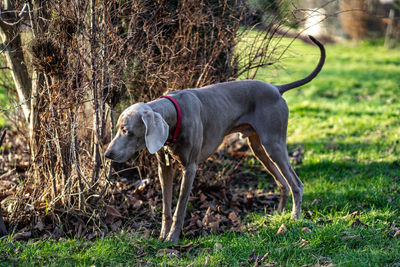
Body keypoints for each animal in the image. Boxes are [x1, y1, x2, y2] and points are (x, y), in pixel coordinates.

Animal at [104, 35, 324, 243]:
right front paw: (162, 236)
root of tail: (277, 88)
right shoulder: (164, 167)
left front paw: (172, 238)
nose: (107, 154)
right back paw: (278, 216)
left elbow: (180, 208)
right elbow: (166, 207)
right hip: (258, 147)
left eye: (126, 131)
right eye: (118, 129)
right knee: (282, 182)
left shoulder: (190, 167)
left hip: (274, 143)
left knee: (296, 184)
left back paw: (294, 218)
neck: (173, 112)